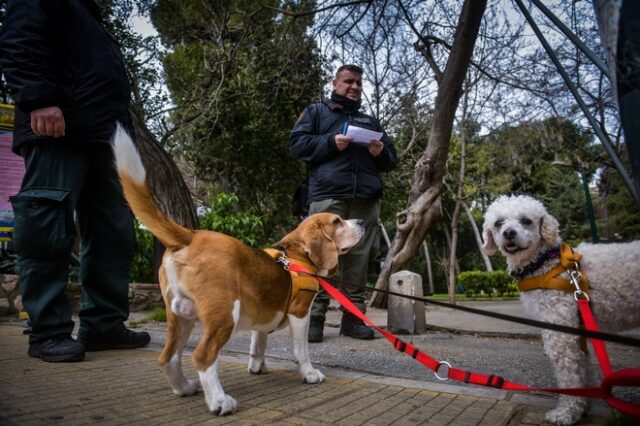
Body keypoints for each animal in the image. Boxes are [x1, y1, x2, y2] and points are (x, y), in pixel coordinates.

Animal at [112, 124, 362, 416]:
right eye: (337, 221)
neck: (296, 253)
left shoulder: (263, 316)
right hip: (224, 314)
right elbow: (302, 351)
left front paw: (257, 367)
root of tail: (190, 236)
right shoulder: (300, 312)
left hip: (180, 316)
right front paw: (310, 374)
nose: (360, 221)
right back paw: (220, 402)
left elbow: (258, 343)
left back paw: (184, 388)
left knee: (167, 357)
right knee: (202, 356)